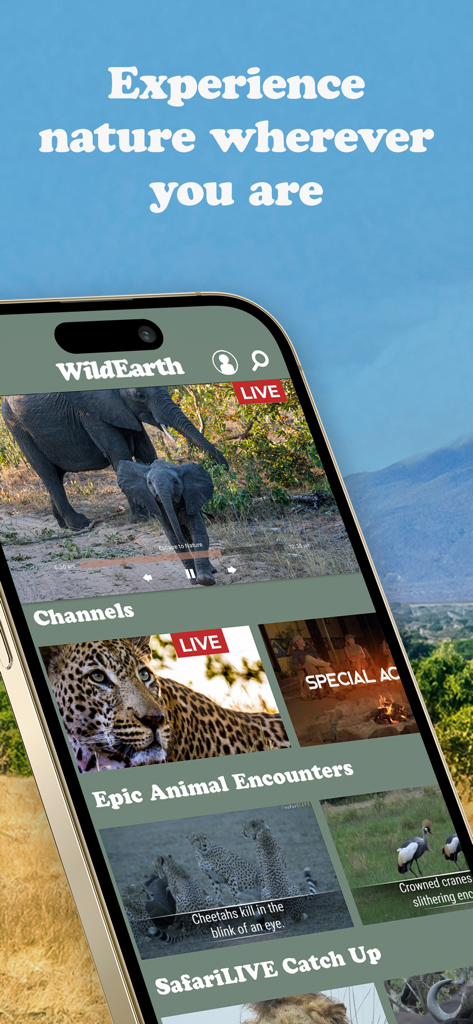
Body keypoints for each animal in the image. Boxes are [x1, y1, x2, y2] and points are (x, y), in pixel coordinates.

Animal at [2, 387, 228, 530]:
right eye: (139, 395)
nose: (226, 469)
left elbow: (147, 452)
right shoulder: (90, 412)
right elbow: (120, 454)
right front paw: (142, 519)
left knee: (56, 475)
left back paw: (62, 525)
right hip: (16, 426)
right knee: (48, 473)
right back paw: (80, 524)